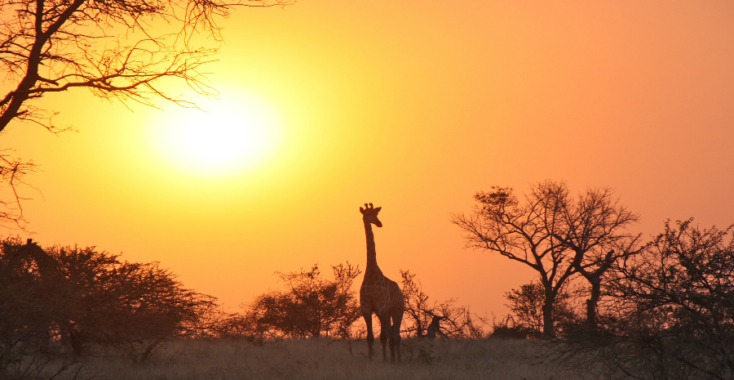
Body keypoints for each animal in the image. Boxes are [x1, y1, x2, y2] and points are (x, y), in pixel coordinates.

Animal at [360, 203, 406, 364]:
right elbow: (370, 337)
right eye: (367, 214)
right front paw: (370, 361)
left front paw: (390, 362)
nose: (379, 223)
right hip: (387, 313)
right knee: (389, 335)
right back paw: (392, 359)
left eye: (376, 214)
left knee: (396, 336)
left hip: (398, 310)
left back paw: (397, 361)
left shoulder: (382, 308)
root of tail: (401, 292)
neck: (371, 272)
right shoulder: (367, 309)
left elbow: (387, 337)